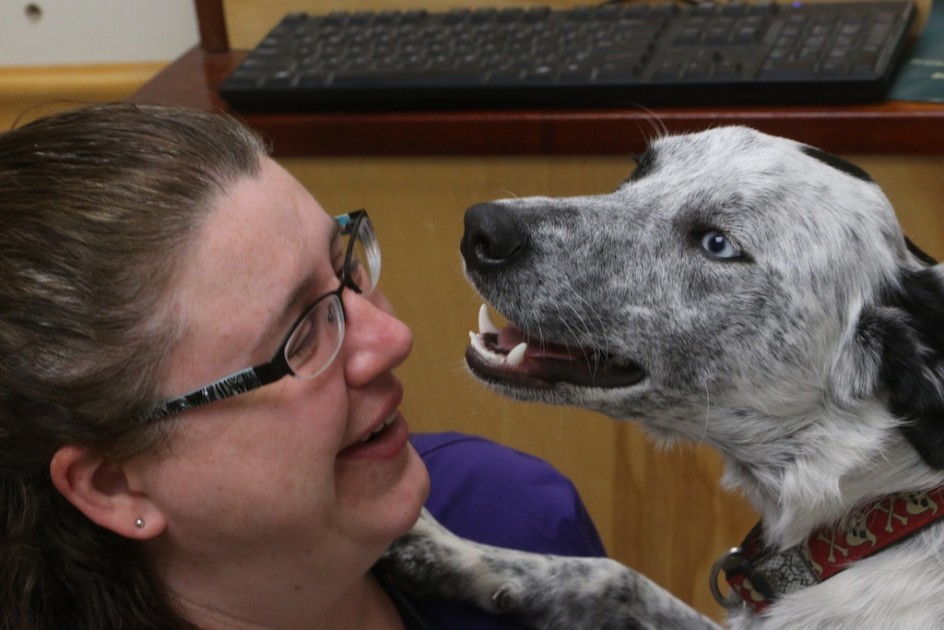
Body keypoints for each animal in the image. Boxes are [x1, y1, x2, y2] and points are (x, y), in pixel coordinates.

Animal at [380, 126, 944, 628]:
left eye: (717, 244)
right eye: (639, 171)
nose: (481, 227)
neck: (872, 514)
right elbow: (615, 576)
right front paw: (454, 553)